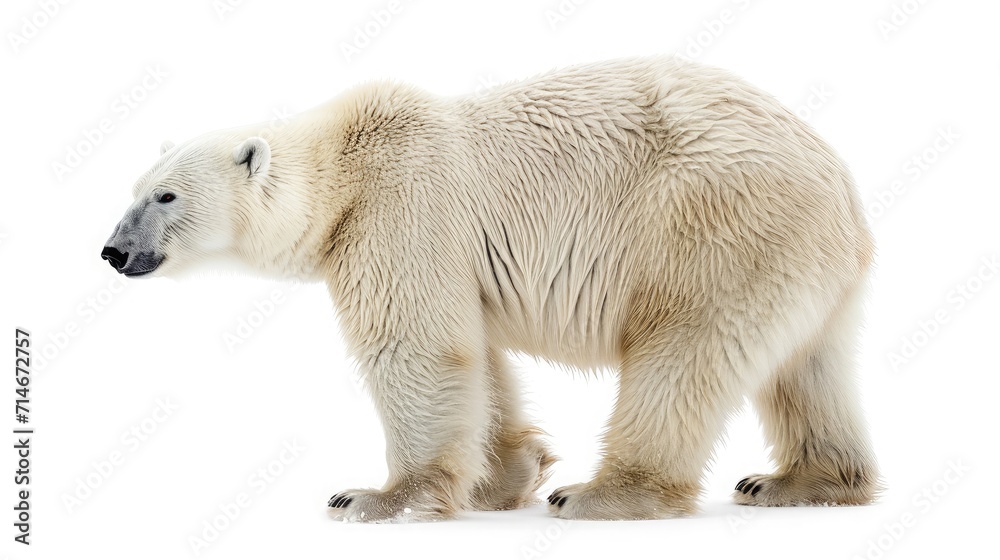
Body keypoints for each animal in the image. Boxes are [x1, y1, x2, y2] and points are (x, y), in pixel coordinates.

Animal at [102, 56, 880, 521]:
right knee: (809, 367)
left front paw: (375, 497)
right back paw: (798, 482)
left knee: (682, 355)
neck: (346, 164)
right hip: (801, 263)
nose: (113, 251)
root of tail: (841, 184)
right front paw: (505, 476)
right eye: (134, 187)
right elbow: (475, 350)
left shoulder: (398, 208)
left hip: (713, 226)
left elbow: (414, 348)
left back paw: (601, 493)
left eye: (166, 196)